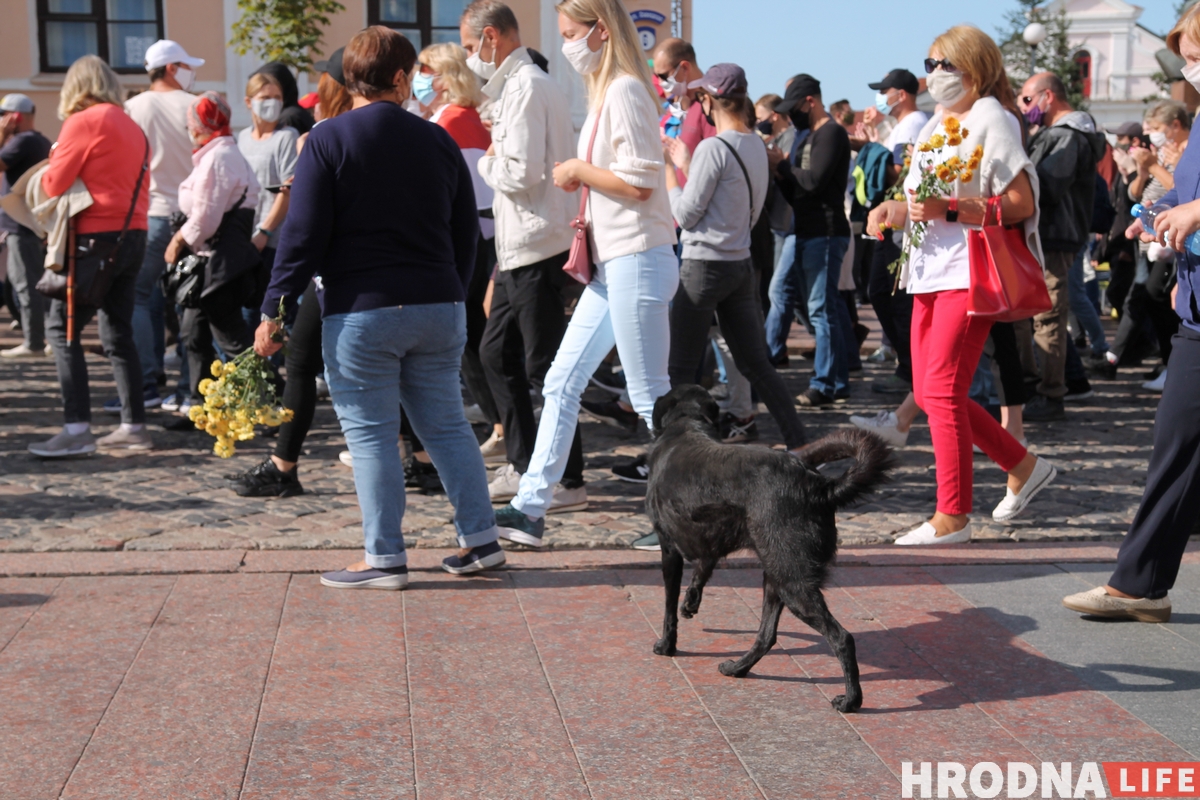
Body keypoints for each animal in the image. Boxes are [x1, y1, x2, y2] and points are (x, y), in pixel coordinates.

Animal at [648, 386, 892, 714]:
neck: (686, 426)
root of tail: (820, 487)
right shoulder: (710, 544)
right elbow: (703, 568)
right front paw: (691, 601)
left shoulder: (668, 549)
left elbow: (668, 608)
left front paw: (666, 645)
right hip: (775, 576)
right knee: (767, 636)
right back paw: (737, 668)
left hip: (792, 583)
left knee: (842, 638)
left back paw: (851, 701)